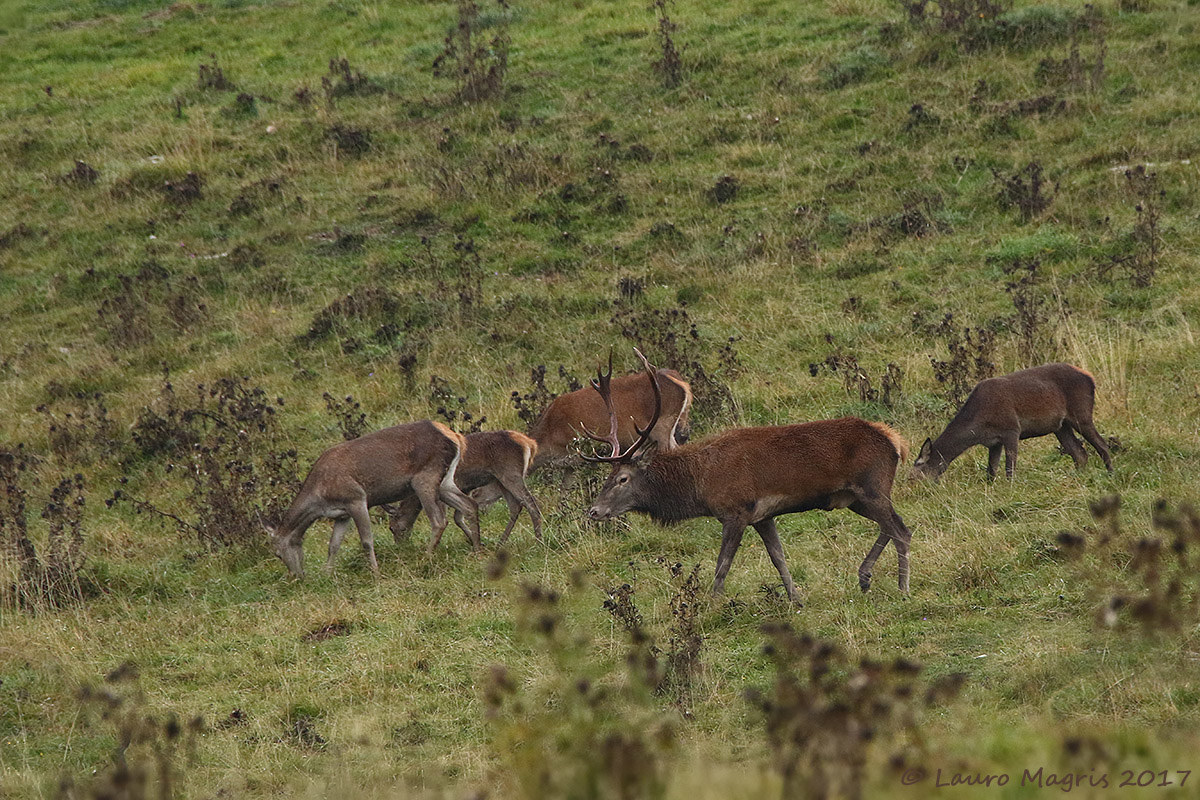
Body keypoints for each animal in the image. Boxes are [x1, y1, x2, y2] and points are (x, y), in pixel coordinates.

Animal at [266, 420, 480, 578]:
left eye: (278, 554)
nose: (297, 577)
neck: (320, 497)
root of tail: (456, 437)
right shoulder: (341, 514)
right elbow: (333, 545)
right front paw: (327, 574)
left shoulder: (356, 499)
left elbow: (367, 540)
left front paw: (376, 573)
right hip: (445, 480)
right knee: (469, 505)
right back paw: (477, 548)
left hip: (425, 478)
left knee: (439, 520)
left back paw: (426, 558)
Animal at [385, 429, 543, 545]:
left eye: (392, 527)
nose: (401, 546)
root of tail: (529, 443)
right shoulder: (465, 488)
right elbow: (458, 516)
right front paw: (475, 540)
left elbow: (450, 517)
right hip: (500, 480)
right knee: (516, 506)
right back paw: (501, 542)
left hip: (511, 473)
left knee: (531, 502)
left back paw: (539, 541)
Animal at [582, 349, 913, 605]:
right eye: (609, 476)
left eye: (623, 478)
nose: (594, 511)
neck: (700, 485)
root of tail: (896, 442)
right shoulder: (763, 516)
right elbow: (778, 558)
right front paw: (796, 598)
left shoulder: (736, 511)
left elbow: (722, 564)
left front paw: (711, 606)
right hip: (856, 497)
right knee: (891, 525)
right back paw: (865, 577)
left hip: (871, 485)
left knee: (901, 530)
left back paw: (902, 588)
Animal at [911, 362, 1113, 481]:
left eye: (914, 475)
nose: (912, 489)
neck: (978, 428)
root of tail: (1090, 377)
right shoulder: (993, 442)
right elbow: (991, 471)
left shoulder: (1011, 429)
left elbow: (1009, 468)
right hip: (1061, 426)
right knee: (1079, 453)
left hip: (1081, 413)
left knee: (1102, 445)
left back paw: (1111, 474)